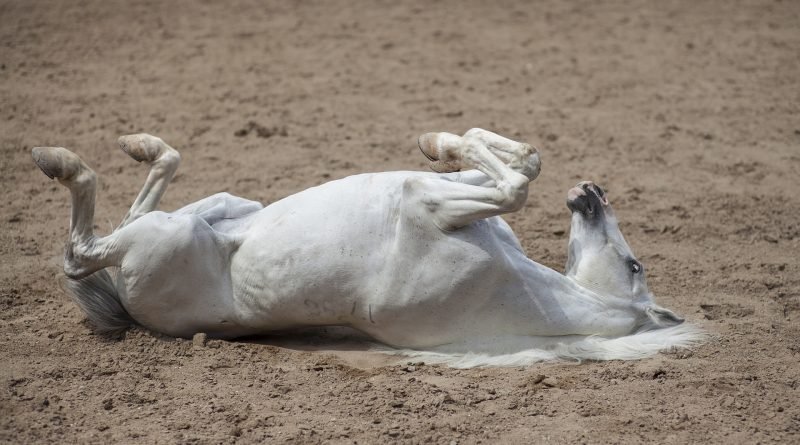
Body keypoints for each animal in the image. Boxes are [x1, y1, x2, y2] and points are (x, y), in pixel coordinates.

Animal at [32, 128, 703, 367]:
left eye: (635, 264)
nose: (592, 193)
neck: (525, 290)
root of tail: (126, 305)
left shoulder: (429, 204)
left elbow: (515, 185)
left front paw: (447, 142)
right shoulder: (445, 196)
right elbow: (517, 166)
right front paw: (441, 141)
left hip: (166, 237)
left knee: (81, 252)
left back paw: (58, 159)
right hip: (218, 208)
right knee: (143, 196)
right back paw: (137, 144)